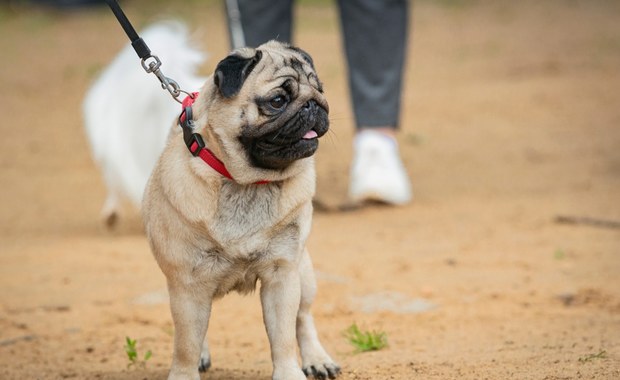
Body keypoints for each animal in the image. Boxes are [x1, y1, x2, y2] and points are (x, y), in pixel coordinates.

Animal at [142, 39, 340, 380]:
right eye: (277, 101)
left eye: (319, 90)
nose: (314, 104)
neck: (247, 183)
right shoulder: (187, 285)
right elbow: (186, 344)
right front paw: (185, 371)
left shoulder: (282, 275)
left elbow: (284, 337)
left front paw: (289, 373)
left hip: (303, 272)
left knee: (303, 319)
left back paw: (317, 358)